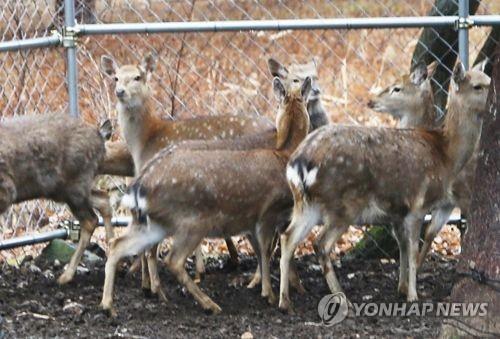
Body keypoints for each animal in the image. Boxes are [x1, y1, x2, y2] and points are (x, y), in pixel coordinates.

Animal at [0, 113, 113, 286]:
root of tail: (100, 136)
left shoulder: (7, 189)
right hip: (68, 189)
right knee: (104, 200)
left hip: (76, 184)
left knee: (90, 219)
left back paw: (66, 276)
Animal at [99, 75, 312, 318]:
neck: (283, 152)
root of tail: (140, 184)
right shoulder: (269, 212)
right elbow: (269, 250)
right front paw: (272, 293)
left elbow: (264, 250)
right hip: (193, 221)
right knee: (172, 260)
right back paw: (208, 303)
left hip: (154, 223)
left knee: (120, 245)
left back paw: (115, 304)